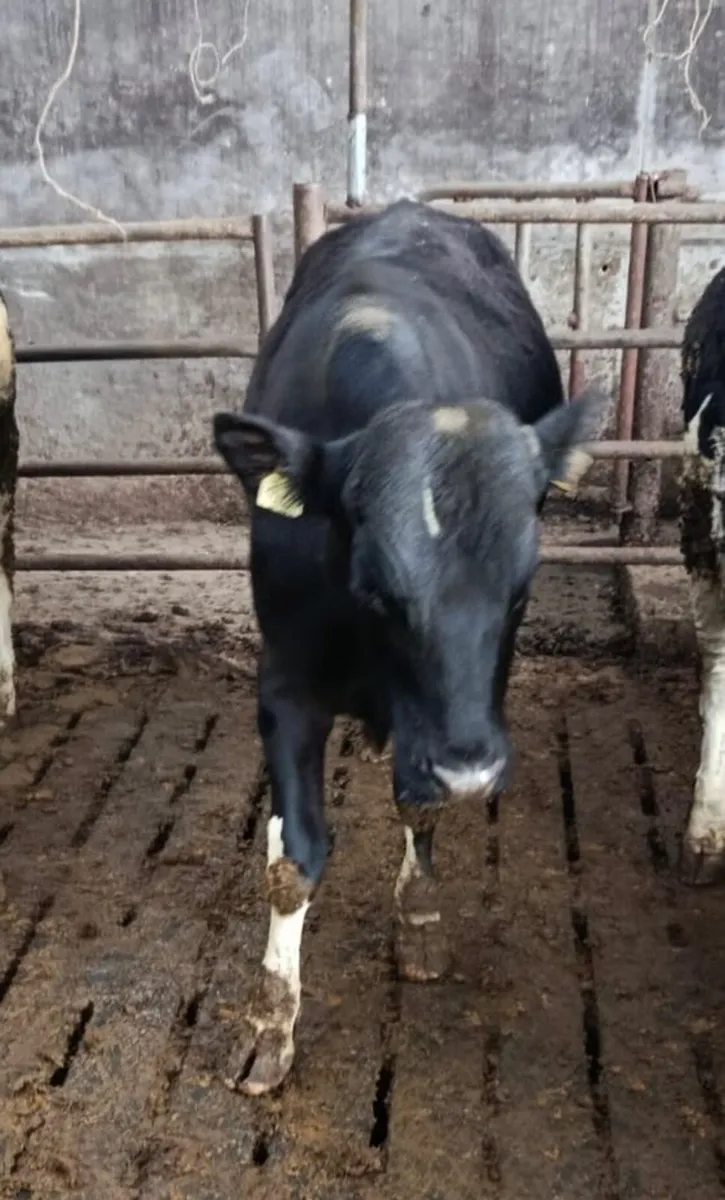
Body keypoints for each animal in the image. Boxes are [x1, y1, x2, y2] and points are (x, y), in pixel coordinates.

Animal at [213, 199, 607, 1095]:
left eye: (519, 589)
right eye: (375, 587)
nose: (471, 770)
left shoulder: (457, 712)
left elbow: (416, 803)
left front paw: (420, 917)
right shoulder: (283, 682)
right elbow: (293, 860)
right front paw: (269, 1024)